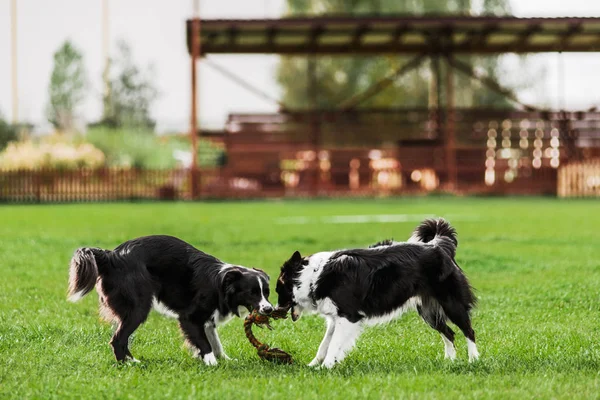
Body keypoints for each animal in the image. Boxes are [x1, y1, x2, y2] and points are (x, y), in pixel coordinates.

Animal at [67, 236, 272, 364]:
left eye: (267, 292)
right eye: (252, 293)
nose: (269, 309)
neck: (221, 283)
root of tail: (111, 255)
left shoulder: (207, 320)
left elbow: (215, 342)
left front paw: (224, 360)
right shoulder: (189, 317)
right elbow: (205, 343)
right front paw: (211, 362)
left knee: (122, 338)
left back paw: (132, 360)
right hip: (139, 307)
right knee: (118, 339)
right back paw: (128, 365)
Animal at [276, 219, 478, 368]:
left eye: (278, 291)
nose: (273, 310)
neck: (312, 276)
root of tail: (439, 246)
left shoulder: (348, 316)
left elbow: (334, 345)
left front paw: (326, 367)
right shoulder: (336, 318)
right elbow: (324, 344)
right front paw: (313, 366)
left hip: (451, 302)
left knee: (469, 330)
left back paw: (473, 360)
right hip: (428, 310)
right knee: (449, 333)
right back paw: (450, 361)